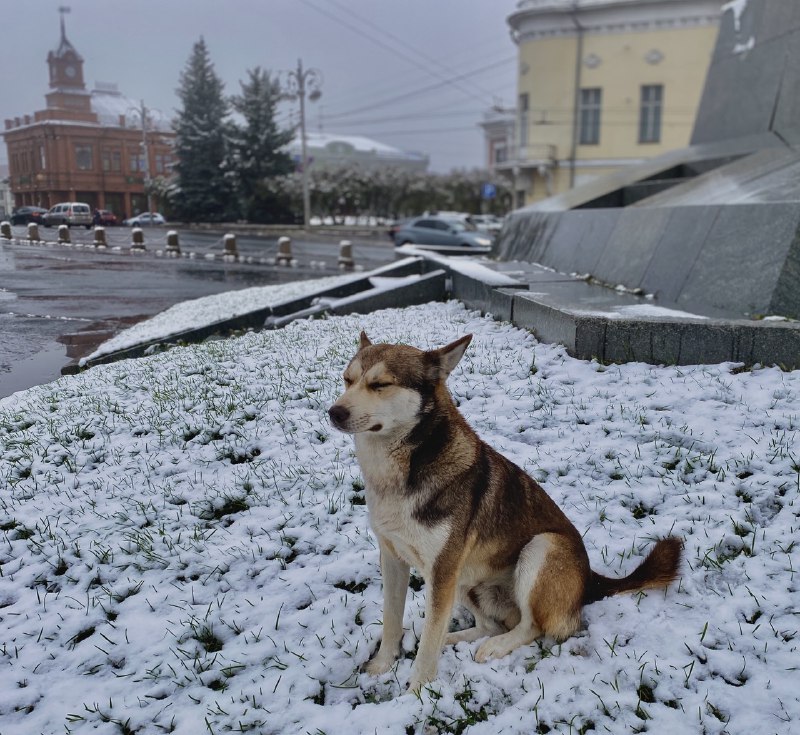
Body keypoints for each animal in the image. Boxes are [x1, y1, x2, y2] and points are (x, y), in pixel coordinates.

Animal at [324, 334, 680, 696]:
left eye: (380, 384)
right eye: (347, 379)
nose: (334, 412)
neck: (398, 471)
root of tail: (590, 580)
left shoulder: (442, 568)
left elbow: (430, 636)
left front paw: (416, 692)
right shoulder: (394, 557)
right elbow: (392, 619)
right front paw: (383, 665)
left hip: (540, 548)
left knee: (534, 626)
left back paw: (494, 646)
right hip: (466, 579)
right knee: (489, 624)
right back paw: (453, 639)